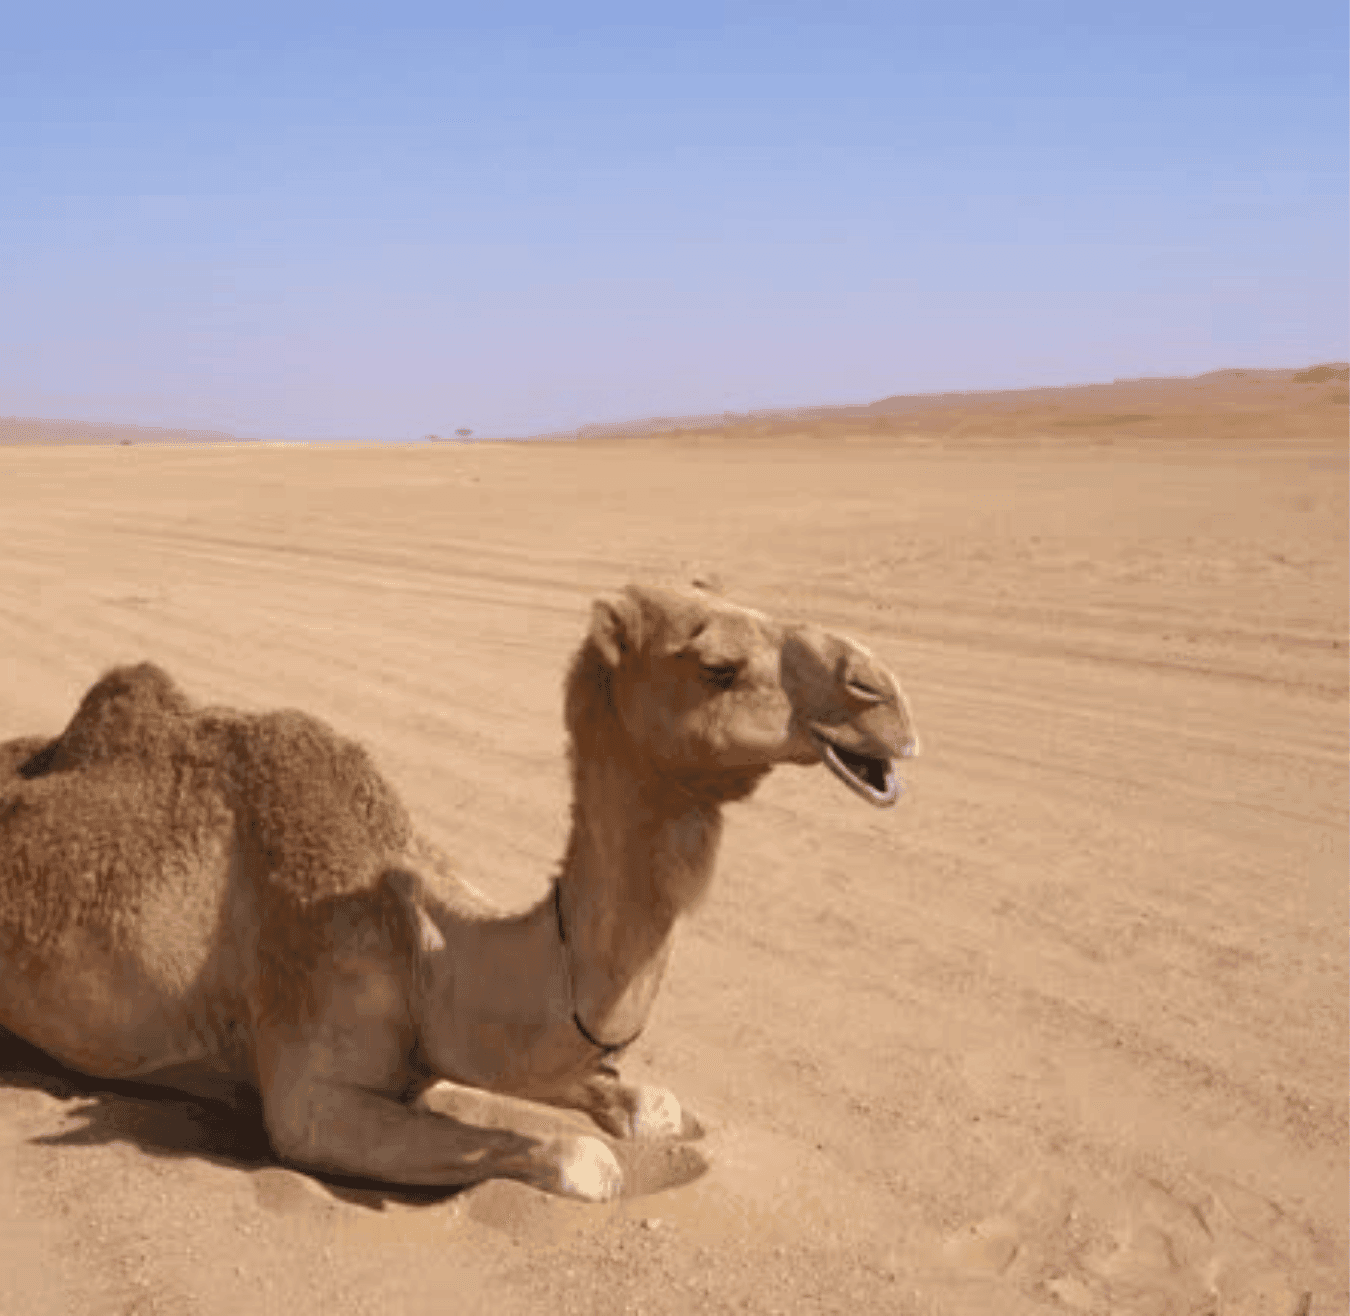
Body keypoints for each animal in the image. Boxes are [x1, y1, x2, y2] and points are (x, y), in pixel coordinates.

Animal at [0, 583, 918, 1201]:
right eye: (719, 667)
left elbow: (642, 1100)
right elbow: (582, 1160)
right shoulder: (309, 1092)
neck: (430, 947)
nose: (885, 697)